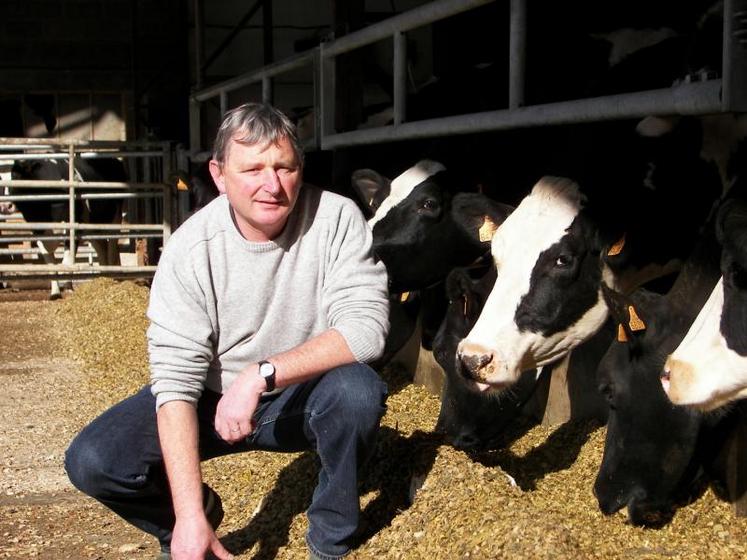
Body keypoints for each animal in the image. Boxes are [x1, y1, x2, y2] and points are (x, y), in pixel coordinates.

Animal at [4, 155, 127, 300]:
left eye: (15, 175)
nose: (5, 206)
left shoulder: (73, 229)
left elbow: (67, 261)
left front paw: (68, 287)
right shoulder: (39, 233)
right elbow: (51, 265)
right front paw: (55, 293)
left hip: (115, 218)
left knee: (112, 248)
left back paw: (115, 276)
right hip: (93, 227)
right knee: (101, 248)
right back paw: (104, 277)